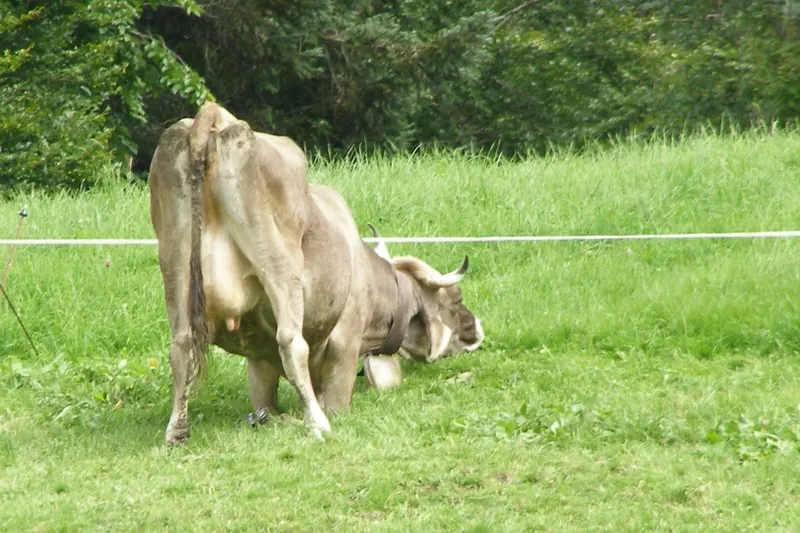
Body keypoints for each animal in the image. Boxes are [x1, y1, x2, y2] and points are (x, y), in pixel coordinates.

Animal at [148, 103, 484, 445]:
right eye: (456, 299)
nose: (476, 329)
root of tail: (213, 117)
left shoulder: (257, 359)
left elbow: (264, 402)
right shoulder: (344, 342)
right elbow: (332, 399)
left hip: (175, 260)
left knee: (181, 344)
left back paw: (177, 432)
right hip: (278, 264)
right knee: (291, 342)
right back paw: (316, 423)